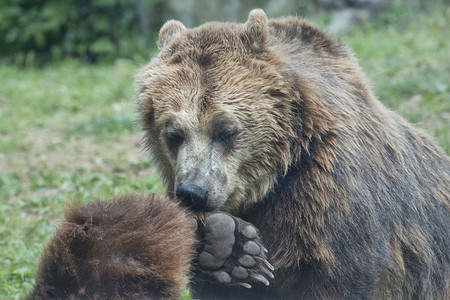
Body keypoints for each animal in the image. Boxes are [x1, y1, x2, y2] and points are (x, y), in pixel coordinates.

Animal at [137, 8, 450, 298]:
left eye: (225, 131)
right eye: (173, 134)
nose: (194, 191)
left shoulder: (328, 196)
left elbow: (340, 274)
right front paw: (225, 246)